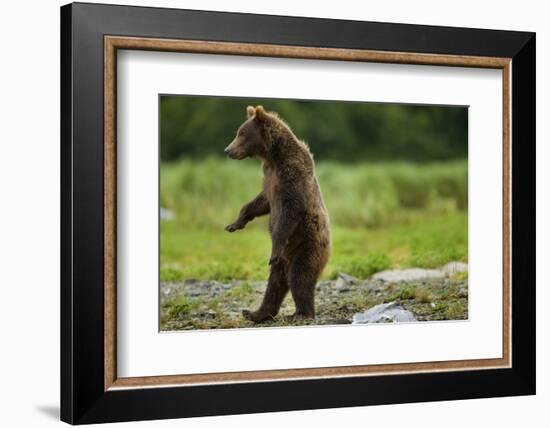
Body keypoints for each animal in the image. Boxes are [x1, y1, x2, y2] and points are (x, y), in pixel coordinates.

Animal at [224, 105, 332, 322]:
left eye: (242, 134)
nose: (228, 150)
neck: (273, 156)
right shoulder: (269, 178)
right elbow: (260, 202)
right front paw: (234, 224)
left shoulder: (292, 176)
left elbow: (290, 212)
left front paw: (274, 246)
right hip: (284, 260)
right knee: (275, 282)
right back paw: (255, 313)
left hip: (307, 245)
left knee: (299, 277)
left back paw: (301, 314)